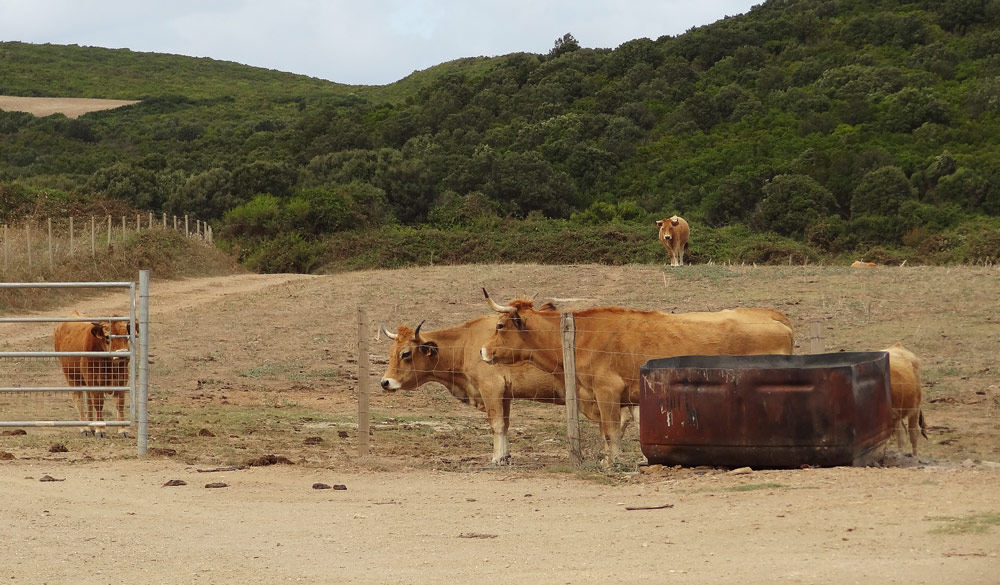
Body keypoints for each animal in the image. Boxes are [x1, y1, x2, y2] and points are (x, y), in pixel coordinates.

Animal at [53, 310, 132, 438]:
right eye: (107, 336)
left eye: (127, 335)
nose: (123, 354)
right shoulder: (93, 380)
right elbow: (98, 403)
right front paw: (100, 429)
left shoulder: (121, 380)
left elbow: (119, 404)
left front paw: (122, 430)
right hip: (72, 377)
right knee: (79, 400)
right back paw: (85, 428)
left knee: (88, 400)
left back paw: (91, 427)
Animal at [376, 314, 564, 466]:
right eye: (391, 351)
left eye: (406, 353)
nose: (385, 382)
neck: (466, 342)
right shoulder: (505, 396)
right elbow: (505, 425)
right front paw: (505, 456)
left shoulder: (491, 389)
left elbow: (497, 424)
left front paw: (497, 458)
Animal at [480, 292, 792, 466]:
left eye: (500, 325)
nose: (482, 350)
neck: (582, 335)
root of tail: (772, 314)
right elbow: (611, 432)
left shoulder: (607, 391)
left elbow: (609, 431)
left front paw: (612, 462)